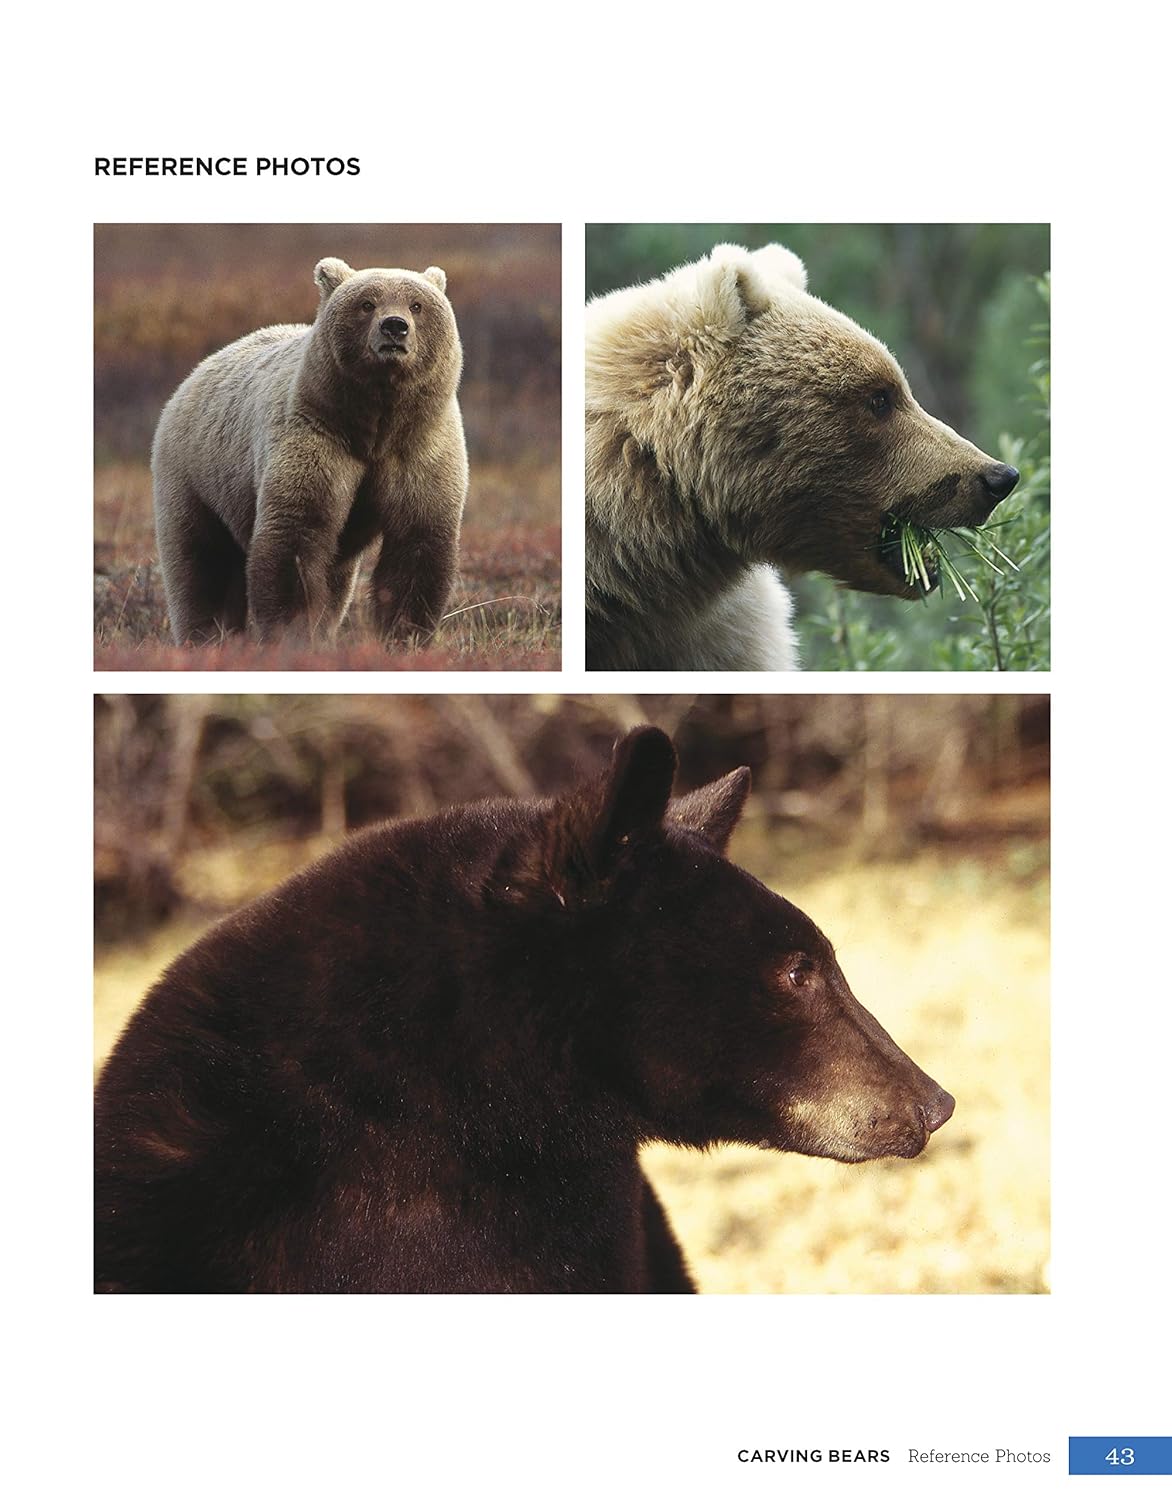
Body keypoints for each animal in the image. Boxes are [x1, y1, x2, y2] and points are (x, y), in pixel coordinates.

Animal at [152, 257, 468, 645]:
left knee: (334, 579)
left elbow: (418, 544)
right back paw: (208, 638)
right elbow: (296, 536)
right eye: (367, 303)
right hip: (196, 476)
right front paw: (293, 633)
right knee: (202, 563)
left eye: (416, 305)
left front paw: (403, 635)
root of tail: (193, 375)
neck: (375, 425)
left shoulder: (420, 448)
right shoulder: (315, 437)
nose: (394, 327)